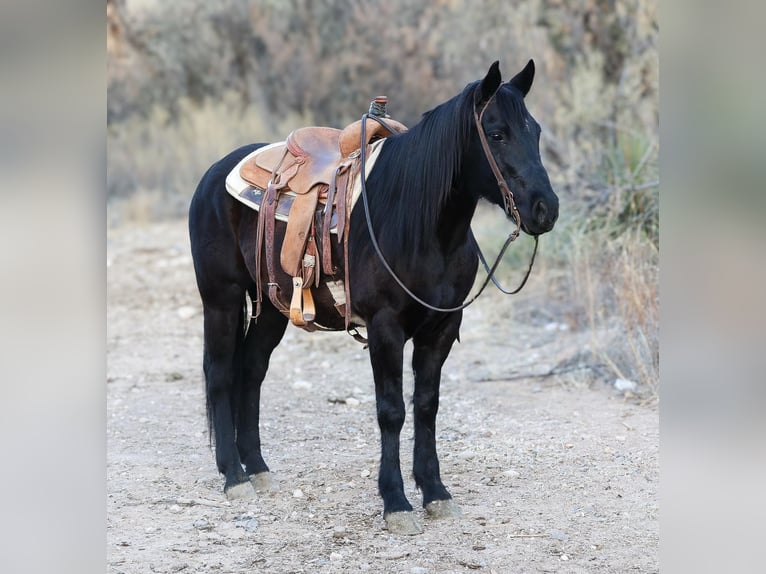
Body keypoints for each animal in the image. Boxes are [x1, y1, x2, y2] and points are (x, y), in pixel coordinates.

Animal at [186, 59, 560, 536]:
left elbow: (426, 406)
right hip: (222, 298)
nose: (545, 209)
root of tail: (215, 174)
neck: (420, 223)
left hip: (272, 306)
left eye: (536, 131)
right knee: (220, 374)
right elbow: (392, 411)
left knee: (251, 371)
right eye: (495, 133)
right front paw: (396, 501)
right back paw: (234, 476)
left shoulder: (441, 329)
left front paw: (435, 493)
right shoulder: (385, 328)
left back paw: (258, 468)